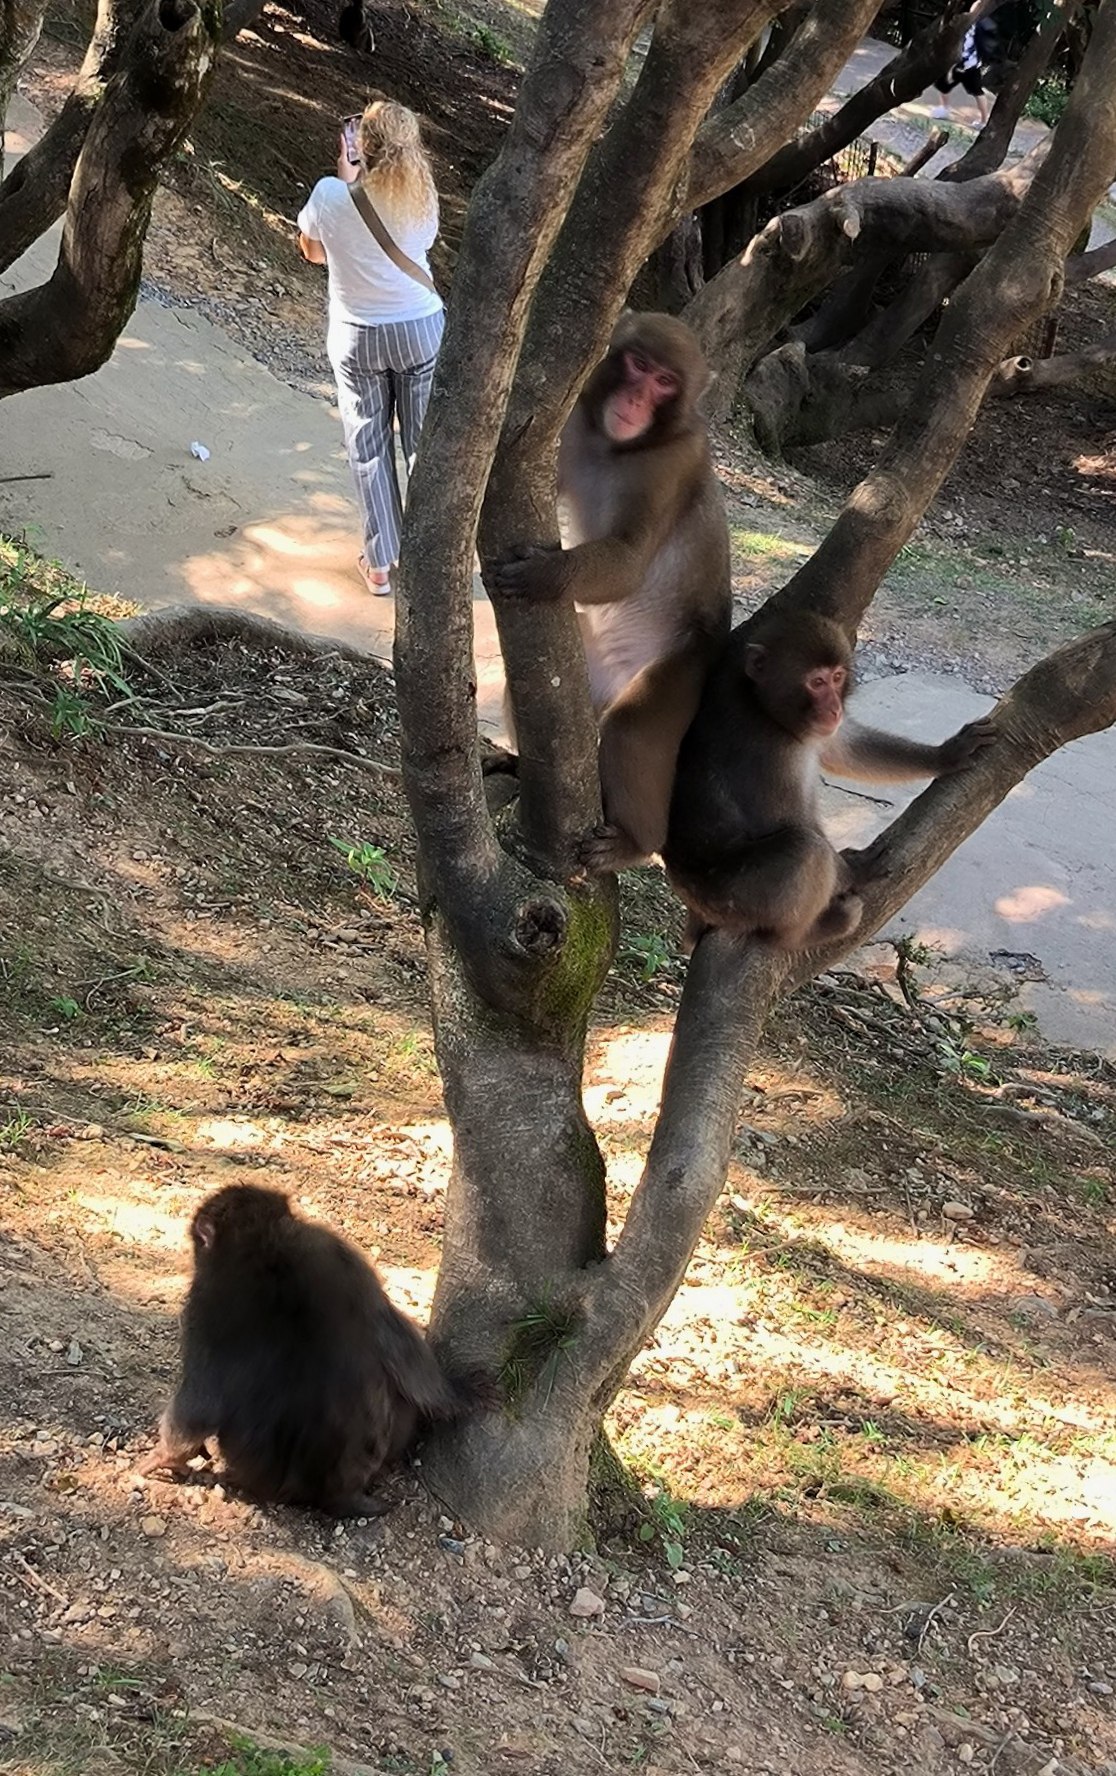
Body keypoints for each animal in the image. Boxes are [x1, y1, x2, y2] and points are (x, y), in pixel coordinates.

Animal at [139, 1184, 468, 1517]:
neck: (266, 1245)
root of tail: (338, 1493)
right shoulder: (337, 1250)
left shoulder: (203, 1302)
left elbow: (199, 1406)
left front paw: (167, 1456)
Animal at [489, 312, 732, 871]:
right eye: (637, 365)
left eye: (664, 381)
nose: (637, 400)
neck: (618, 446)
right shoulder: (575, 427)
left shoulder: (672, 464)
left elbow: (630, 563)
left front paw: (548, 574)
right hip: (588, 667)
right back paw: (521, 763)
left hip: (683, 667)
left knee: (631, 729)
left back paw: (635, 843)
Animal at [661, 610, 996, 953]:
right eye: (817, 682)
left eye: (837, 678)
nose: (834, 708)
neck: (762, 706)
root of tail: (693, 903)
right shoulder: (765, 751)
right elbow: (793, 822)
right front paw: (858, 872)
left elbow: (844, 749)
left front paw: (947, 755)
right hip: (733, 899)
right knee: (806, 849)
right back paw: (802, 934)